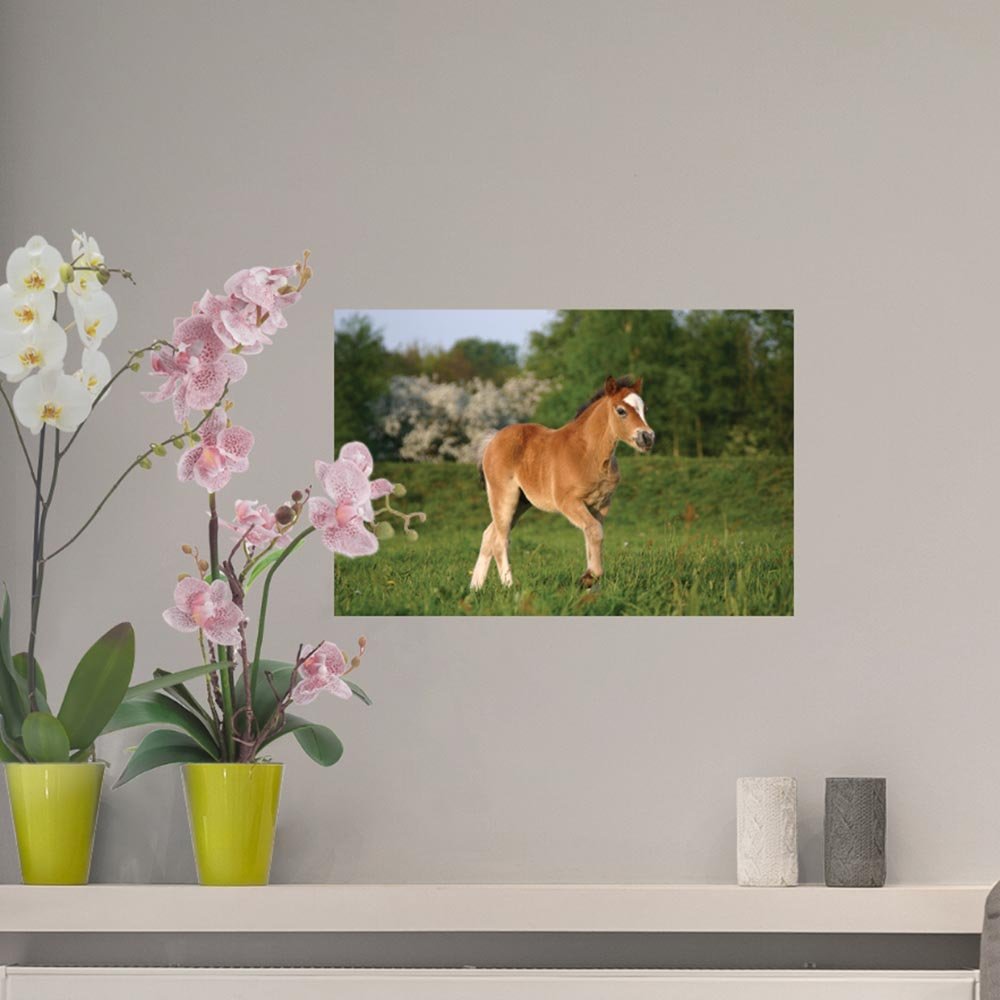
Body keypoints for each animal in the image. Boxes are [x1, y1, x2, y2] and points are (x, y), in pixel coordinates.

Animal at [471, 375, 655, 590]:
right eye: (621, 410)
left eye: (645, 409)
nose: (647, 437)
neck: (588, 453)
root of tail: (493, 440)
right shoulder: (569, 502)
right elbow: (595, 531)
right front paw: (590, 577)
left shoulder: (601, 505)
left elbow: (593, 536)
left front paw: (591, 582)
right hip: (504, 496)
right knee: (500, 541)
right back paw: (510, 585)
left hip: (521, 503)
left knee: (489, 535)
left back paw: (475, 587)